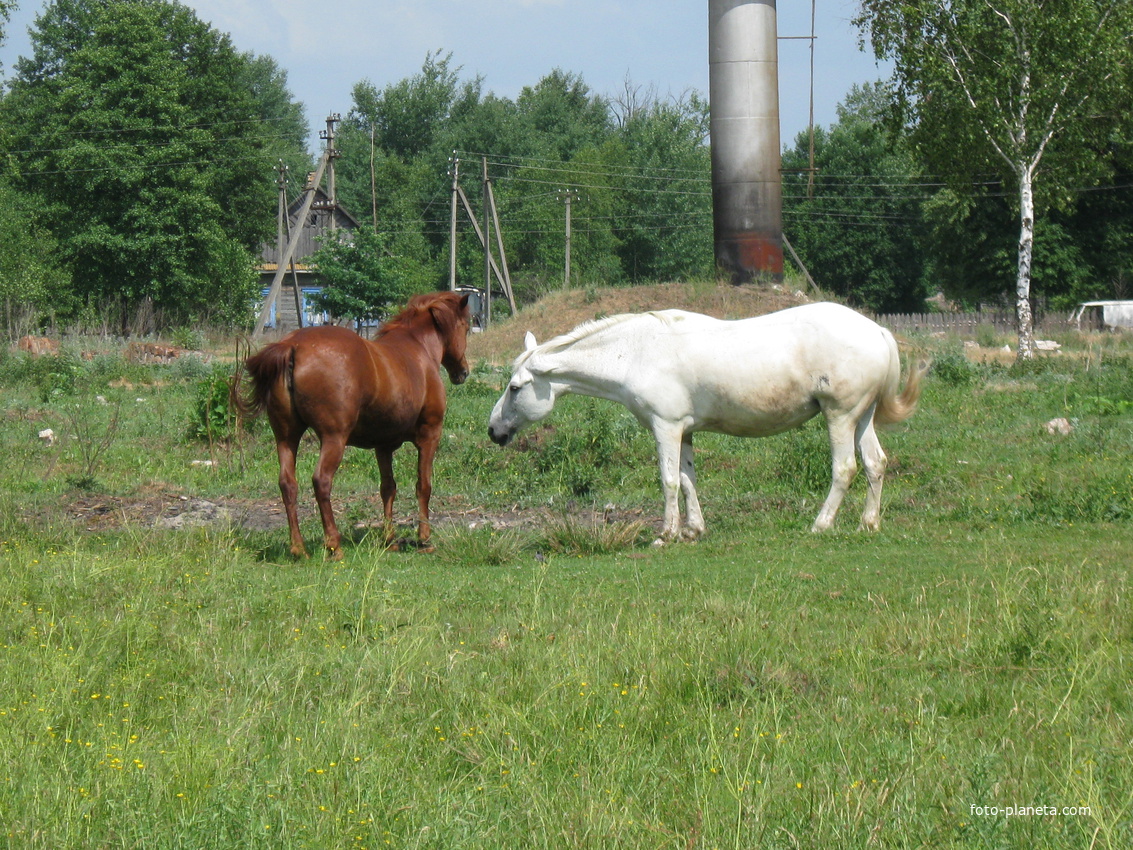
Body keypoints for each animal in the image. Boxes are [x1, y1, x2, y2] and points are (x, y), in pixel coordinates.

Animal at [232, 290, 471, 562]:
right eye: (466, 327)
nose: (463, 372)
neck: (418, 349)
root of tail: (292, 346)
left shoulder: (383, 446)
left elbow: (388, 488)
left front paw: (390, 539)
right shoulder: (429, 436)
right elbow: (423, 485)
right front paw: (424, 538)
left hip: (286, 437)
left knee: (288, 484)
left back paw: (299, 548)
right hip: (333, 439)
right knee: (322, 481)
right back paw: (333, 545)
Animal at [487, 301, 929, 539]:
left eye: (515, 387)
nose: (493, 431)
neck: (635, 352)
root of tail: (878, 332)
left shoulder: (665, 427)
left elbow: (668, 480)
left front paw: (665, 534)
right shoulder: (683, 431)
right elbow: (687, 480)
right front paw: (693, 530)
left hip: (839, 416)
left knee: (845, 468)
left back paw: (821, 524)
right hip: (862, 417)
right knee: (874, 464)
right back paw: (868, 523)